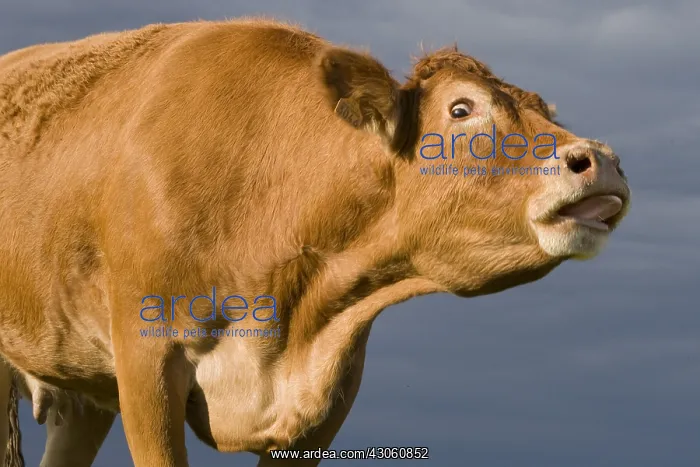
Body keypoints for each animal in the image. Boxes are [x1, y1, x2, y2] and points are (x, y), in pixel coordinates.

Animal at [0, 18, 630, 466]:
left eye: (544, 109)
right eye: (461, 108)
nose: (601, 160)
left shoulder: (326, 398)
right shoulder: (144, 358)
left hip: (83, 388)